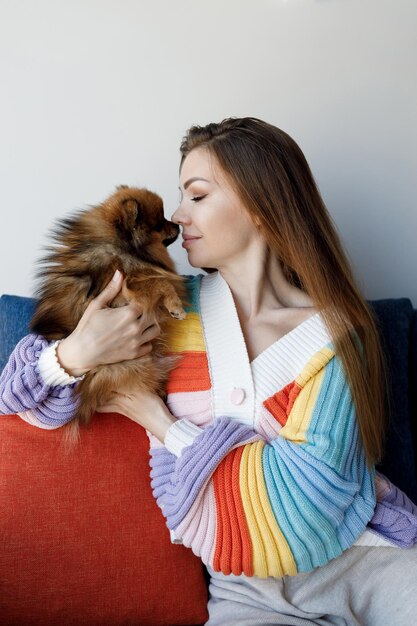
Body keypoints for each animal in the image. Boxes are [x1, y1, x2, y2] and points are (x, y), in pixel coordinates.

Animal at [31, 183, 188, 442]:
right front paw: (176, 306)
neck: (121, 247)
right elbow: (160, 281)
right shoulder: (127, 284)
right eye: (160, 223)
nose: (177, 224)